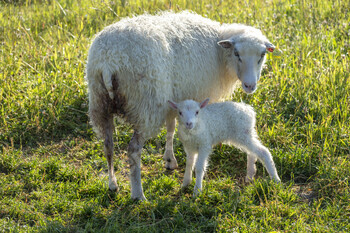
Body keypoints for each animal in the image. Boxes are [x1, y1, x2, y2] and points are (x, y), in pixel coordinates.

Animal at [87, 10, 276, 200]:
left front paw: (169, 159)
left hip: (100, 103)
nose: (250, 86)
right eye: (237, 53)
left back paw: (112, 184)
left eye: (262, 55)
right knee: (133, 151)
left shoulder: (174, 96)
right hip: (147, 105)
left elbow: (171, 128)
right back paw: (138, 194)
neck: (219, 51)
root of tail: (109, 60)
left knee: (108, 145)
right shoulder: (194, 95)